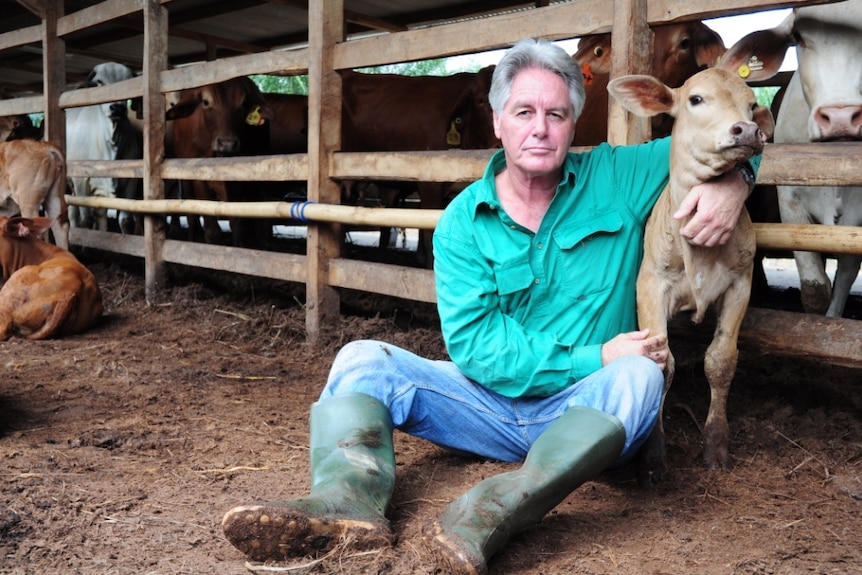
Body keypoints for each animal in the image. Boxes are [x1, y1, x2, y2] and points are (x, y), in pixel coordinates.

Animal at [66, 63, 137, 232]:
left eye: (128, 81)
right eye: (99, 82)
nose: (117, 108)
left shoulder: (131, 183)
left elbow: (126, 221)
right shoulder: (81, 181)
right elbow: (86, 221)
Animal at [608, 65, 776, 484]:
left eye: (752, 103)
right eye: (696, 99)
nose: (748, 130)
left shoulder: (740, 284)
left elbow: (720, 360)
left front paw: (716, 445)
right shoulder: (651, 284)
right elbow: (659, 362)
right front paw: (653, 455)